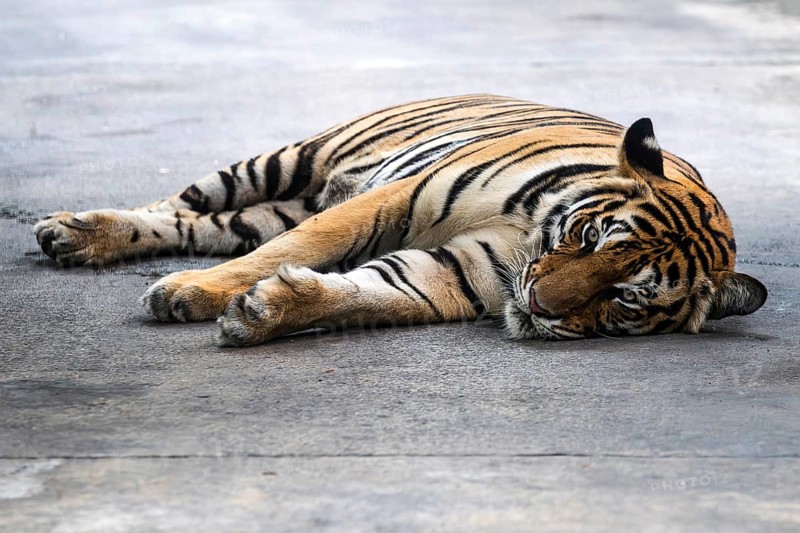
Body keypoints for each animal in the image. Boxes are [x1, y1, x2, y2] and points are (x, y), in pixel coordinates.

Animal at [33, 94, 767, 346]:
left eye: (627, 298)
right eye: (588, 237)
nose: (538, 305)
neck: (530, 234)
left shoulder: (459, 273)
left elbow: (375, 293)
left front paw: (263, 312)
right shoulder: (398, 196)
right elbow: (308, 244)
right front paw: (195, 291)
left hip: (268, 205)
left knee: (204, 225)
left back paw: (81, 241)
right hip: (289, 160)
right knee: (178, 203)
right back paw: (71, 229)